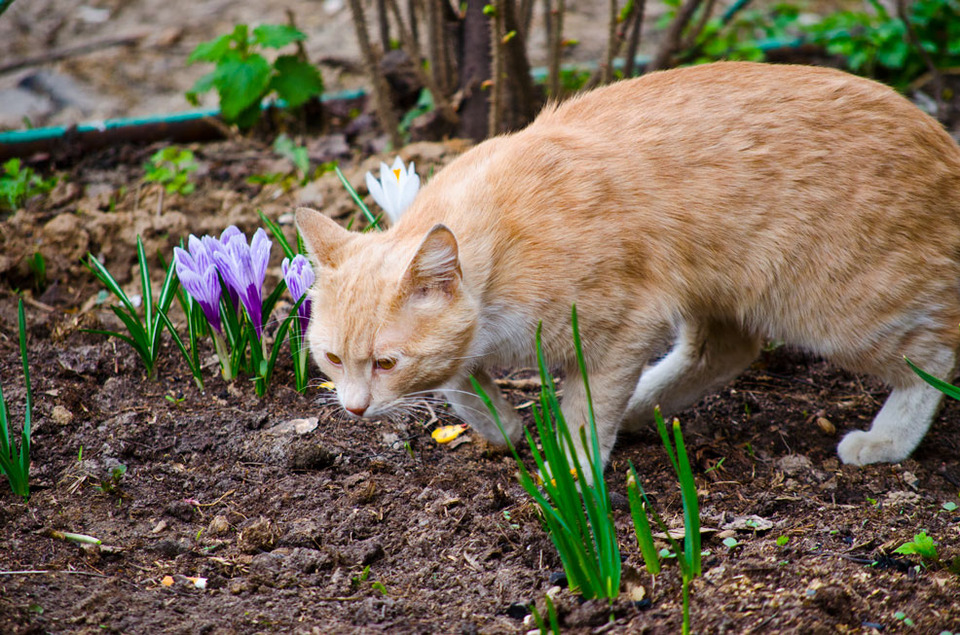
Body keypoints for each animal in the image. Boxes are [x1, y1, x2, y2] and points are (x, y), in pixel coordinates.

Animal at [298, 62, 960, 480]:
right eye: (331, 359)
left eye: (385, 364)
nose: (353, 409)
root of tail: (941, 137)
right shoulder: (476, 341)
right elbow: (463, 380)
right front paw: (505, 428)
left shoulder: (623, 328)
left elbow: (587, 408)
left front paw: (571, 470)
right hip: (723, 295)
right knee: (726, 351)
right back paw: (646, 407)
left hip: (836, 310)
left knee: (935, 355)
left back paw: (888, 439)